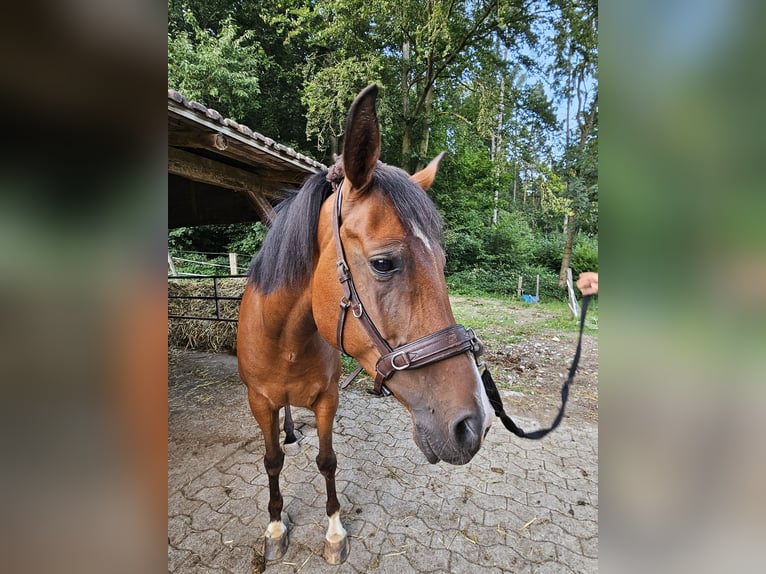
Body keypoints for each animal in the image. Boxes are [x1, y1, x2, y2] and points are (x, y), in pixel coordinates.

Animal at [237, 84, 496, 568]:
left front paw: (334, 533)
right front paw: (276, 527)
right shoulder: (258, 401)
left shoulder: (327, 400)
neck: (287, 340)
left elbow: (327, 461)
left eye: (442, 263)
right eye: (383, 263)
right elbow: (271, 461)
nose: (476, 425)